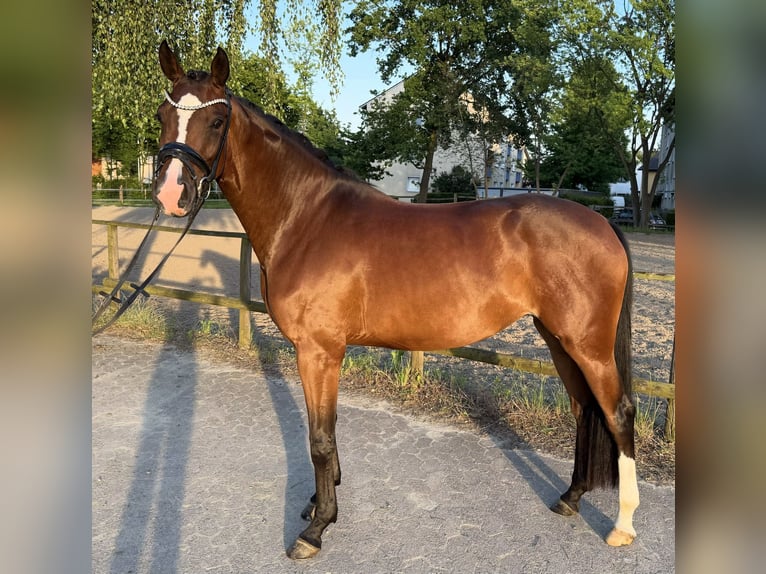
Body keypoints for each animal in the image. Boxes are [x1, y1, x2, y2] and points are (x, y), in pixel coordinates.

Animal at [152, 41, 639, 559]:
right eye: (163, 113)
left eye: (216, 121)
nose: (171, 193)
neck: (308, 218)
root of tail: (602, 222)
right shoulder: (324, 353)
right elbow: (327, 431)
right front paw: (318, 503)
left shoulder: (318, 351)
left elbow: (319, 438)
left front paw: (316, 527)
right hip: (557, 338)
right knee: (584, 409)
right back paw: (571, 497)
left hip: (587, 344)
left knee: (618, 412)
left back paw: (623, 525)